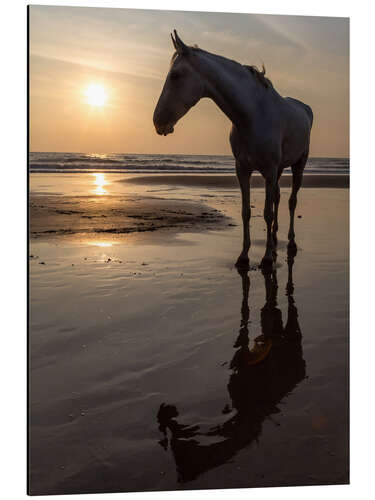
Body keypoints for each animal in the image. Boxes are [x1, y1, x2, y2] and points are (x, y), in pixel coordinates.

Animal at [153, 30, 314, 270]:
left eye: (175, 75)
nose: (158, 122)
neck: (253, 114)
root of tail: (305, 108)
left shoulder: (268, 170)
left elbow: (266, 212)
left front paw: (267, 259)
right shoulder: (243, 170)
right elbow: (247, 212)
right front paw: (244, 257)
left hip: (298, 166)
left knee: (291, 201)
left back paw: (290, 243)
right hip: (278, 171)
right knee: (277, 197)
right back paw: (275, 238)